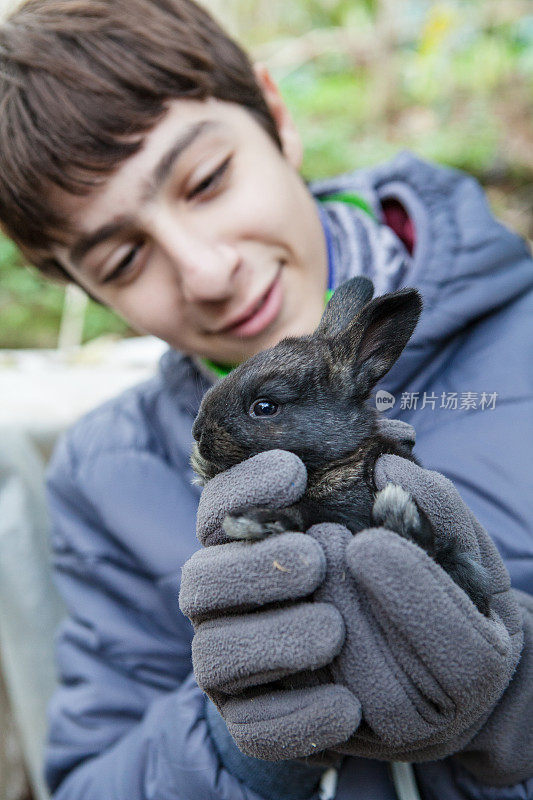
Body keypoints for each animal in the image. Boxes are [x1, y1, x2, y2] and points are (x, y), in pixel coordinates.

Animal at [191, 276, 490, 612]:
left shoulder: (353, 513)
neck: (341, 458)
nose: (198, 433)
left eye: (265, 407)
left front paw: (252, 520)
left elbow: (313, 512)